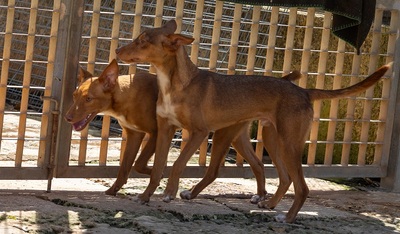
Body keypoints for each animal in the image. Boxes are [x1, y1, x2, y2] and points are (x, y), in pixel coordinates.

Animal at [65, 59, 302, 201]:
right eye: (75, 96)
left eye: (88, 99)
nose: (67, 117)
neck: (125, 93)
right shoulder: (134, 134)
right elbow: (124, 167)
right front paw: (114, 190)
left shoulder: (156, 133)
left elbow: (140, 164)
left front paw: (160, 176)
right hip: (237, 138)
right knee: (259, 164)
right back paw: (261, 195)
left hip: (223, 136)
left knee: (217, 170)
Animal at [115, 20, 390, 223]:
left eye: (142, 40)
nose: (117, 50)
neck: (174, 83)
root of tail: (303, 91)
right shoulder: (165, 129)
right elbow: (156, 169)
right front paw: (146, 196)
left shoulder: (198, 132)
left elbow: (177, 164)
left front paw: (169, 193)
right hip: (270, 138)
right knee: (283, 177)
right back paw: (269, 203)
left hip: (285, 143)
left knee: (301, 186)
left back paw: (287, 218)